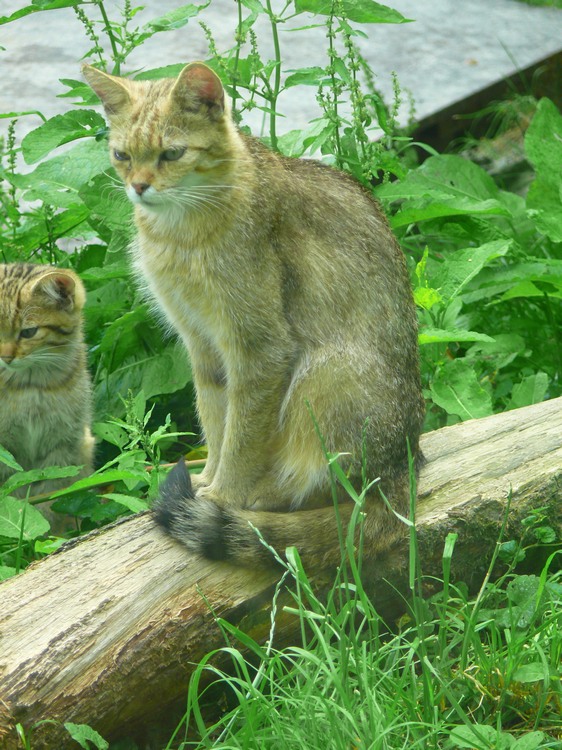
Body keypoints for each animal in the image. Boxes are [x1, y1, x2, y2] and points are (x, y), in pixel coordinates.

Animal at [0, 266, 93, 512]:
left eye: (28, 332)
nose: (4, 357)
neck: (31, 386)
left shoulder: (64, 446)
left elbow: (52, 494)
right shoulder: (5, 452)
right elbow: (13, 493)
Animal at [83, 63, 422, 568]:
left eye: (172, 153)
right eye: (121, 155)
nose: (138, 187)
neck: (177, 235)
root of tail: (407, 465)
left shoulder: (259, 348)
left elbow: (242, 436)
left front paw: (224, 496)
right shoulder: (202, 344)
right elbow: (216, 420)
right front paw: (207, 481)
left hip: (325, 374)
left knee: (339, 495)